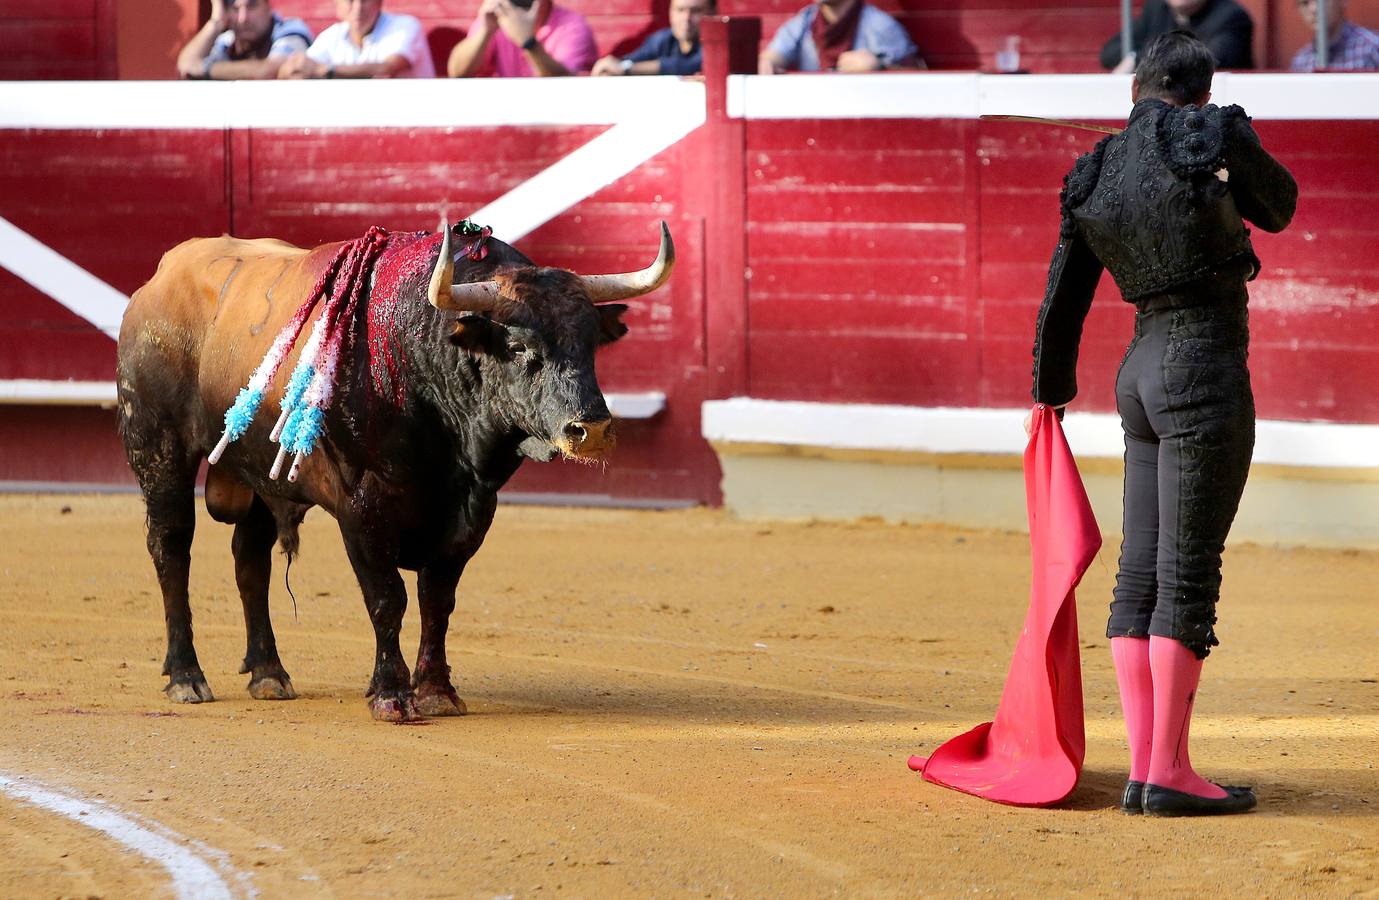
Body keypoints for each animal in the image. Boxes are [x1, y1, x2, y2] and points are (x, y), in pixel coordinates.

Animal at [117, 220, 672, 722]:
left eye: (591, 344)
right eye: (518, 348)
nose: (591, 430)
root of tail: (156, 283)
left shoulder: (472, 511)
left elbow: (437, 600)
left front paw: (438, 692)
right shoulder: (361, 509)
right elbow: (388, 598)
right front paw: (391, 695)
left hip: (256, 473)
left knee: (250, 561)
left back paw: (269, 674)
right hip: (158, 449)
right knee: (171, 548)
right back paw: (187, 676)